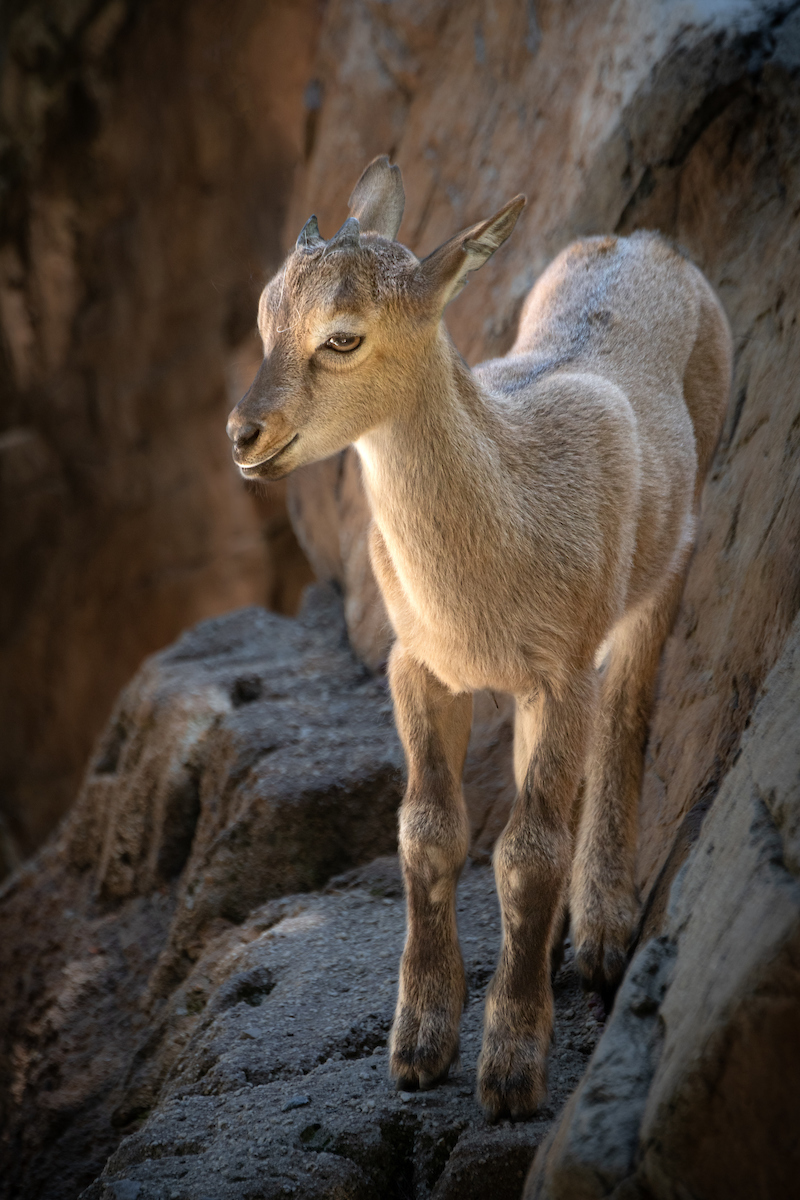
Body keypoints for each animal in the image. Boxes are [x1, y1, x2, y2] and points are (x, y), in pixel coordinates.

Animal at [225, 154, 734, 1118]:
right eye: (267, 314)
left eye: (342, 336)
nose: (244, 435)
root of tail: (647, 243)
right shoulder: (418, 666)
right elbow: (428, 831)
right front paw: (419, 1044)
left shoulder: (558, 672)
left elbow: (528, 851)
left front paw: (511, 1070)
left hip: (671, 551)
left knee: (628, 709)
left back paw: (601, 930)